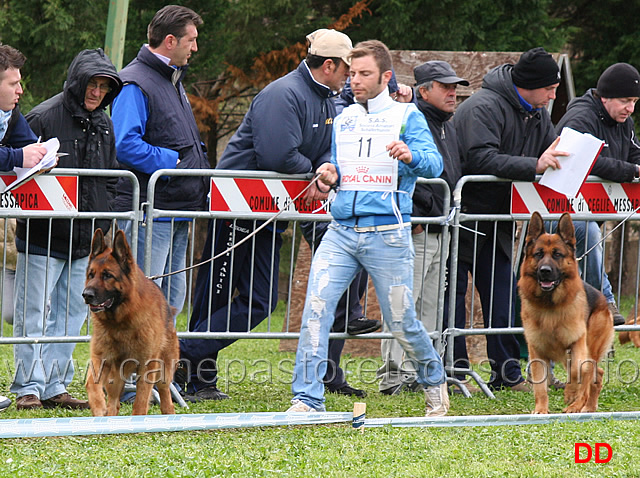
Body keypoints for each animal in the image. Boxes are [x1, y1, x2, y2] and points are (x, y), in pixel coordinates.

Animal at [82, 228, 179, 414]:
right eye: (91, 274)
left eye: (107, 275)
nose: (86, 295)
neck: (120, 322)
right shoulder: (101, 359)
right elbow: (91, 383)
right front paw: (98, 408)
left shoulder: (147, 367)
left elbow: (141, 401)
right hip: (114, 377)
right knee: (114, 402)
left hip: (163, 371)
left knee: (165, 395)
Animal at [516, 211, 612, 412]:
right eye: (538, 254)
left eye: (557, 254)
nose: (545, 271)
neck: (549, 306)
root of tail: (602, 298)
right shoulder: (537, 352)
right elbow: (540, 387)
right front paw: (540, 410)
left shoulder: (577, 343)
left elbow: (577, 370)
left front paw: (570, 393)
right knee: (597, 373)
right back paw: (588, 407)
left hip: (589, 348)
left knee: (590, 372)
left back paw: (577, 405)